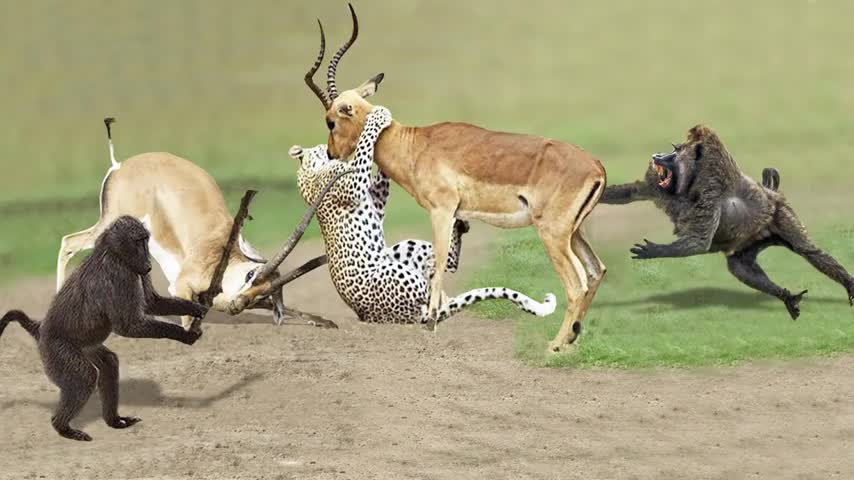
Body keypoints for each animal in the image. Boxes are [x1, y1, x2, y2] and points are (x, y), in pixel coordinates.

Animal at [308, 5, 608, 350]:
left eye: (331, 121)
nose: (332, 154)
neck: (415, 144)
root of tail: (596, 165)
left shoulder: (442, 211)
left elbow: (438, 262)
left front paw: (431, 322)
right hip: (574, 233)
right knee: (596, 271)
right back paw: (571, 340)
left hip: (553, 235)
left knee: (576, 284)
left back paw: (555, 345)